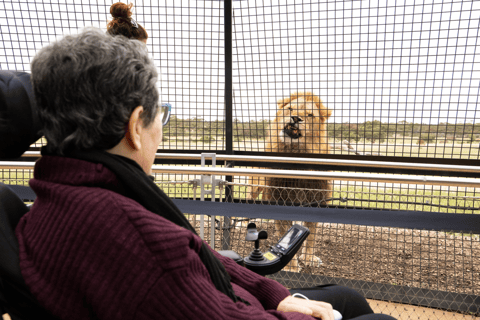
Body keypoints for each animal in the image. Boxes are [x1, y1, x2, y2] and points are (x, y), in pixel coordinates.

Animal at [249, 91, 332, 272]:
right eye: (290, 109)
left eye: (310, 115)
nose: (295, 118)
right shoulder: (279, 198)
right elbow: (285, 233)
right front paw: (291, 268)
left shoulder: (315, 198)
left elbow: (311, 233)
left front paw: (308, 258)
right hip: (254, 189)